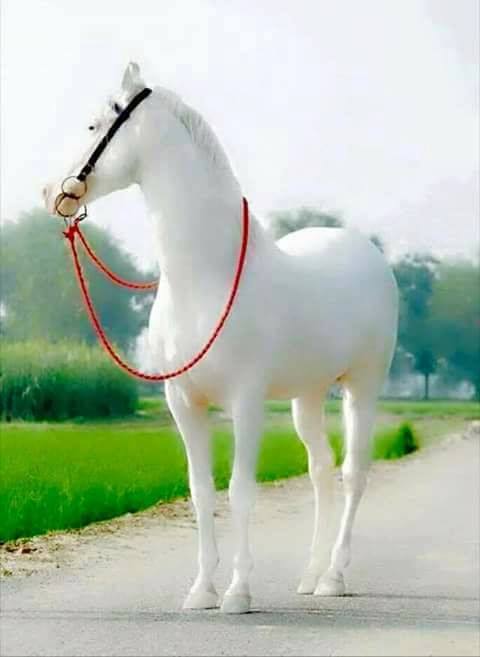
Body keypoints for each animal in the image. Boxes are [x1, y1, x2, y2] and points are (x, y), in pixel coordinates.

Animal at [44, 62, 398, 614]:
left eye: (92, 125)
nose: (53, 194)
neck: (205, 276)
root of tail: (368, 253)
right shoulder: (183, 402)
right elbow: (201, 492)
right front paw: (201, 590)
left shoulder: (246, 402)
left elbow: (240, 492)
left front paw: (237, 593)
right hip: (308, 394)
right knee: (320, 471)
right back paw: (309, 576)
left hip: (363, 385)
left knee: (352, 473)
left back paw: (334, 577)